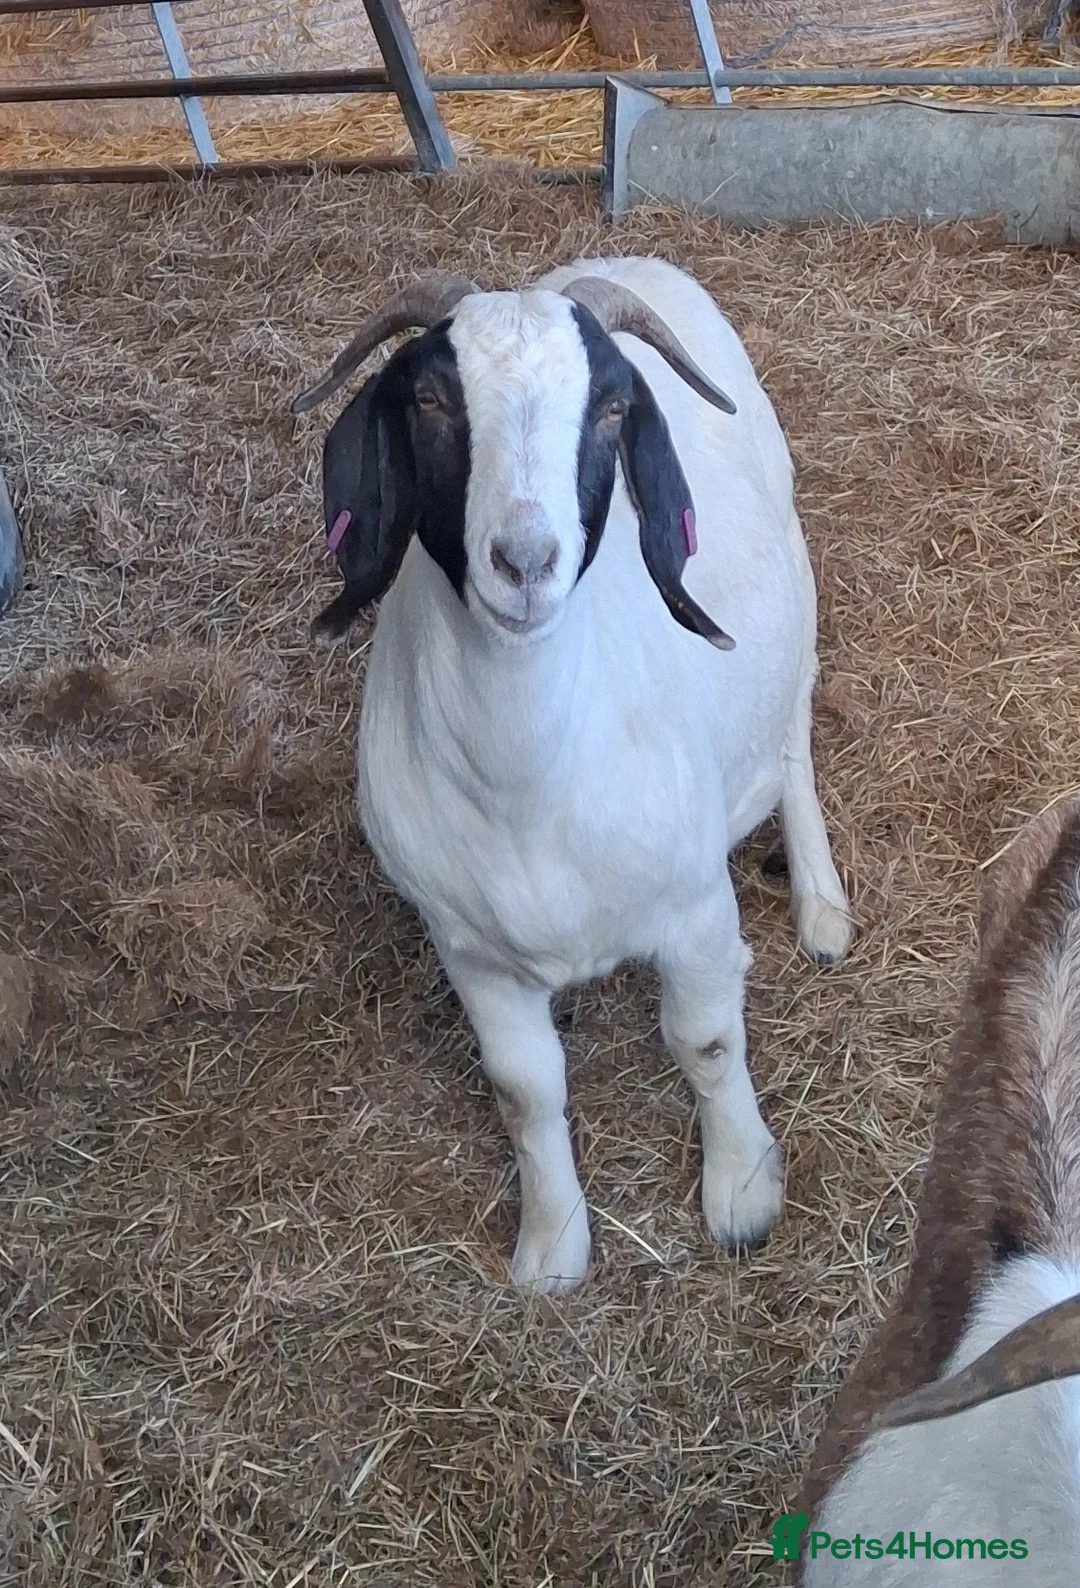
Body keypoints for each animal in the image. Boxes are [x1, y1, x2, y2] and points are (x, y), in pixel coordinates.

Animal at [292, 256, 852, 1292]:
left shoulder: (695, 910)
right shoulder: (470, 952)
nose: (524, 561)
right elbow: (525, 1092)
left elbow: (706, 1041)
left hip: (793, 591)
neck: (531, 787)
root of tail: (631, 259)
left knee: (790, 735)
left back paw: (821, 906)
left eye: (611, 406)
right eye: (429, 398)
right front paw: (552, 1243)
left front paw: (743, 1189)